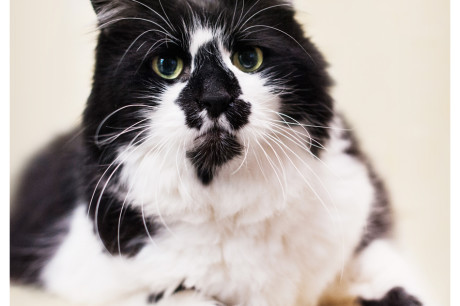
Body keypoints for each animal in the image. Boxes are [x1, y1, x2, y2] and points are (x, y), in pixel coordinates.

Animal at [10, 0, 426, 306]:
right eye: (167, 65)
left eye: (249, 59)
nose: (215, 98)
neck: (229, 203)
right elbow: (186, 295)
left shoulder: (362, 229)